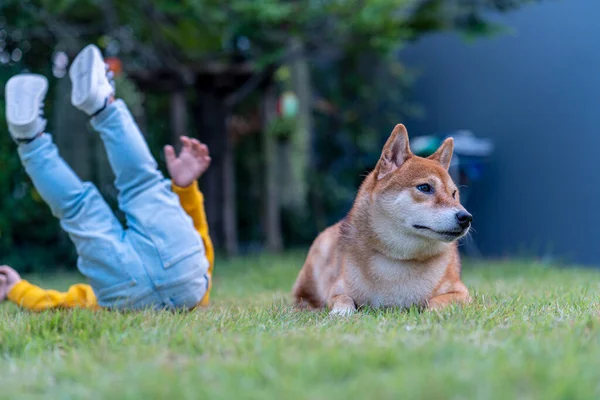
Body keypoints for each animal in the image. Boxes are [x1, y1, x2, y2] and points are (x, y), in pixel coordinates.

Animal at [292, 124, 472, 316]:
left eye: (454, 194)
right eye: (425, 187)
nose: (466, 217)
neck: (398, 259)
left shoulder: (462, 293)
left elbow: (437, 301)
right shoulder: (335, 290)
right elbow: (343, 298)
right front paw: (342, 312)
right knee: (301, 298)